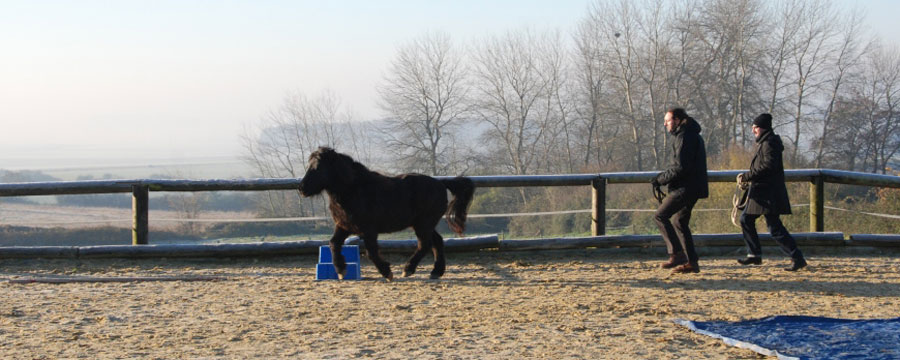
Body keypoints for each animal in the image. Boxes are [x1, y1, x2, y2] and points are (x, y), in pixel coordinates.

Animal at [298, 147, 478, 282]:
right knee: (437, 242)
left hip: (424, 224)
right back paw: (435, 272)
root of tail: (441, 183)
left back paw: (408, 269)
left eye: (318, 167)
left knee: (425, 244)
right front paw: (341, 270)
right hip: (424, 224)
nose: (301, 189)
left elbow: (371, 252)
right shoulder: (344, 226)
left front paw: (387, 273)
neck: (354, 190)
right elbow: (333, 244)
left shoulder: (369, 230)